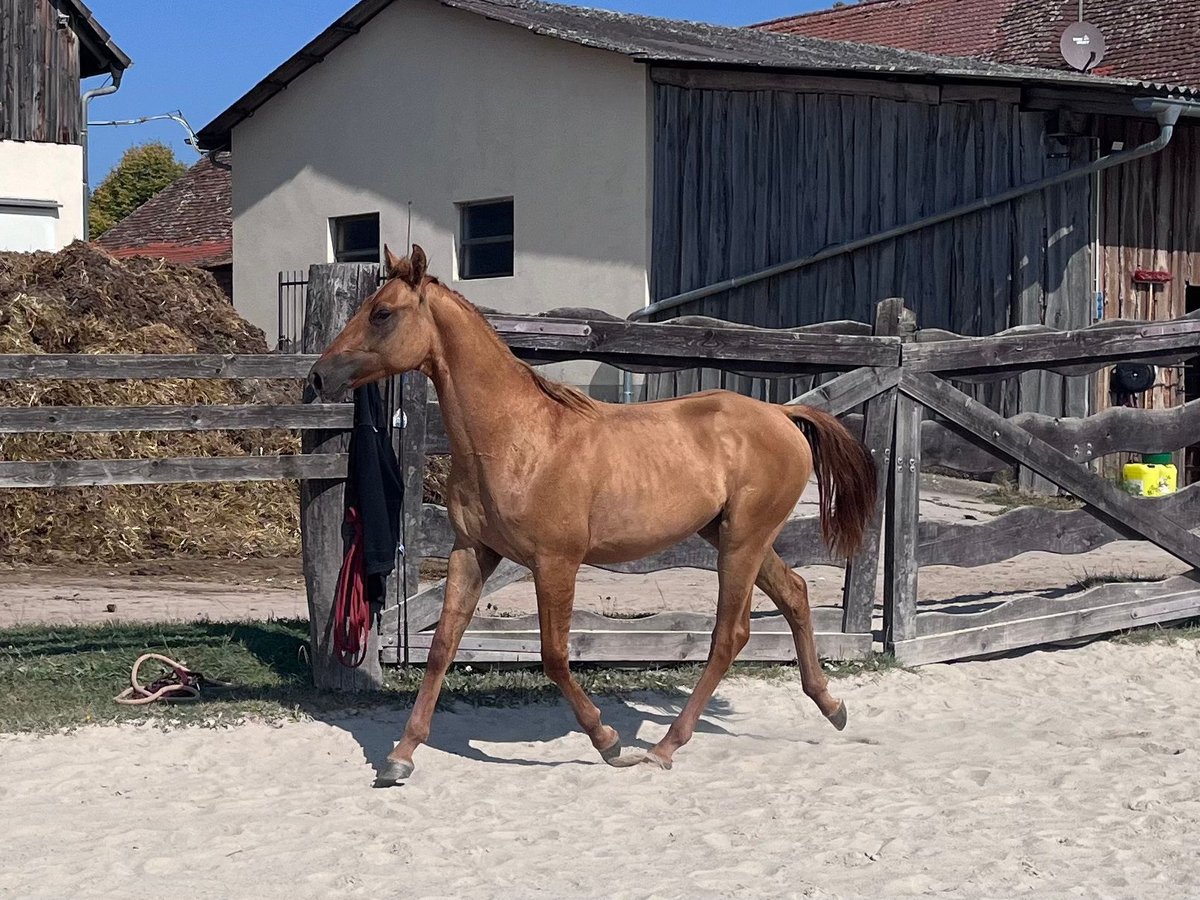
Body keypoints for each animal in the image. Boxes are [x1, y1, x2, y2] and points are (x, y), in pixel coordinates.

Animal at [307, 244, 873, 782]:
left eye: (382, 313)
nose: (317, 377)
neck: (517, 438)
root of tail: (781, 413)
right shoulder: (472, 551)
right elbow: (443, 645)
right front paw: (400, 756)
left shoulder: (556, 563)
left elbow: (555, 655)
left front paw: (609, 743)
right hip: (736, 537)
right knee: (795, 594)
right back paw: (833, 707)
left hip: (741, 542)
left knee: (728, 636)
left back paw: (664, 748)